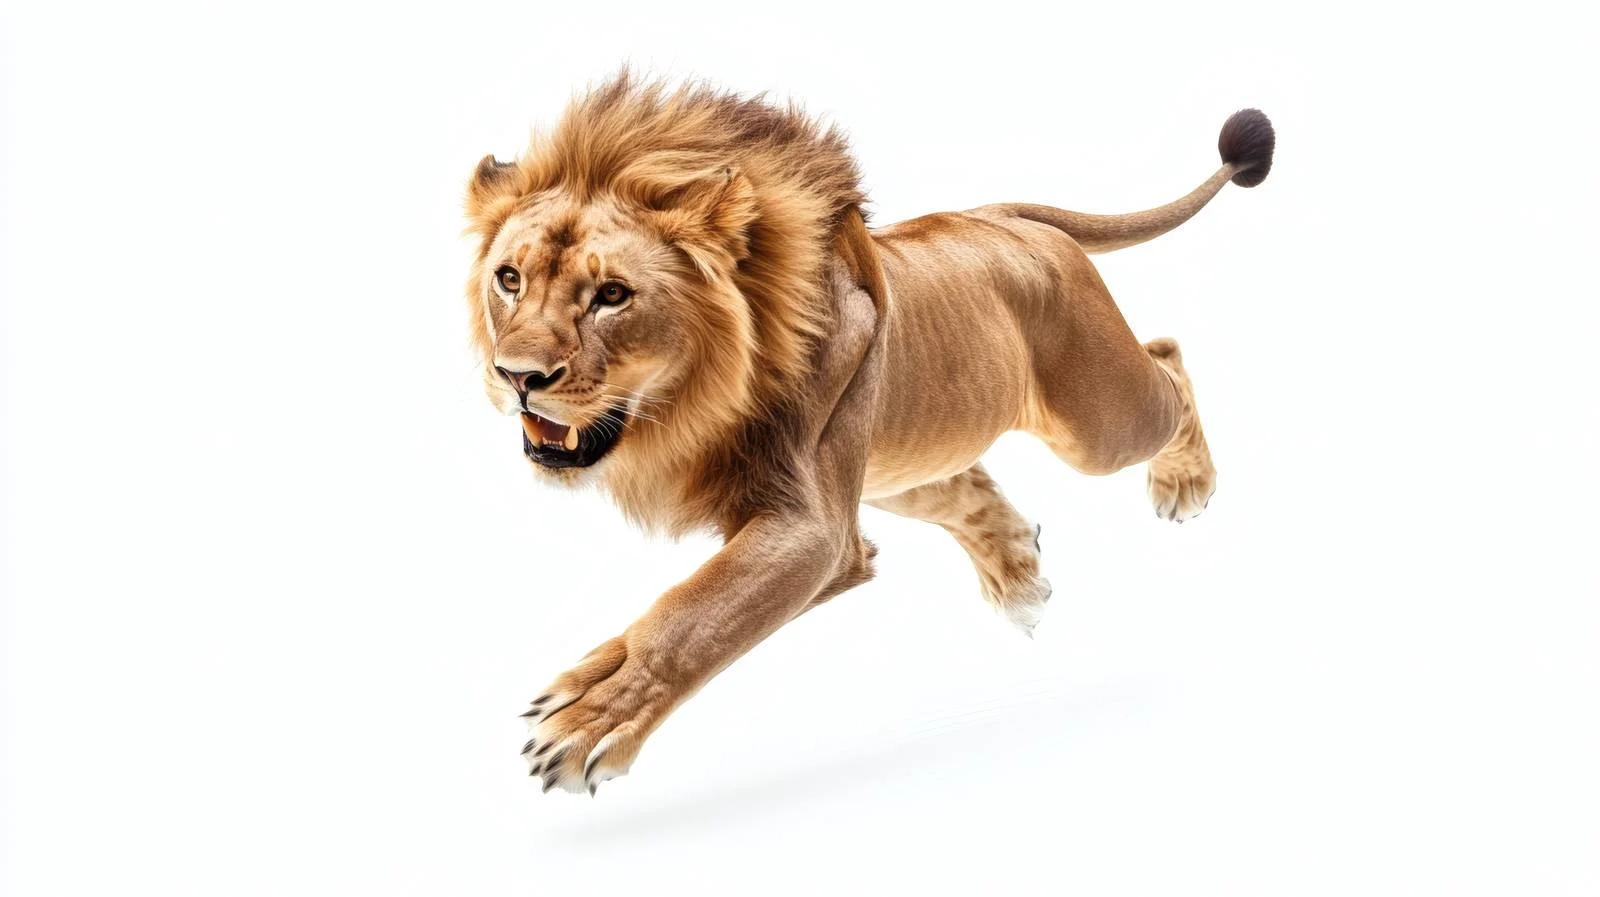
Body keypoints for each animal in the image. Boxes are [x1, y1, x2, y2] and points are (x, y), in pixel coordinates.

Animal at [462, 73, 1274, 794]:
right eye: (509, 279)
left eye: (612, 295)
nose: (516, 376)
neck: (692, 406)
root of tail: (1006, 217)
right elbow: (686, 611)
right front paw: (583, 692)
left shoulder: (815, 532)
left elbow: (694, 614)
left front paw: (588, 722)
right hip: (904, 458)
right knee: (968, 492)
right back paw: (1018, 578)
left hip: (1099, 424)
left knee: (1167, 358)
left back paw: (1183, 482)